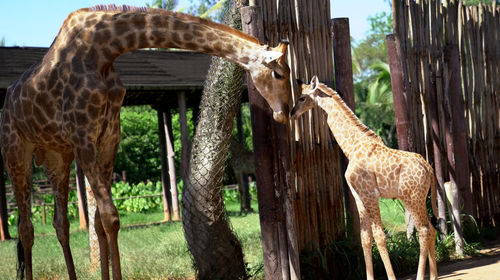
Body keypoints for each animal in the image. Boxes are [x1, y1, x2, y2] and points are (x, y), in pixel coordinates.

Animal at [0, 4, 292, 280]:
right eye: (279, 74)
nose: (286, 112)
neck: (102, 49)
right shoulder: (82, 137)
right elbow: (110, 216)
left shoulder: (108, 136)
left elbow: (99, 221)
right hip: (16, 153)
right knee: (25, 229)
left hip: (57, 157)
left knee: (61, 224)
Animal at [292, 76, 440, 280]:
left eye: (302, 98)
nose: (292, 113)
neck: (351, 147)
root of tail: (428, 167)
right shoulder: (359, 197)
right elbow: (365, 238)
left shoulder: (370, 195)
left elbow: (379, 236)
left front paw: (391, 277)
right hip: (419, 198)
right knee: (431, 229)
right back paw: (433, 276)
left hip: (411, 198)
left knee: (424, 231)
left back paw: (420, 276)